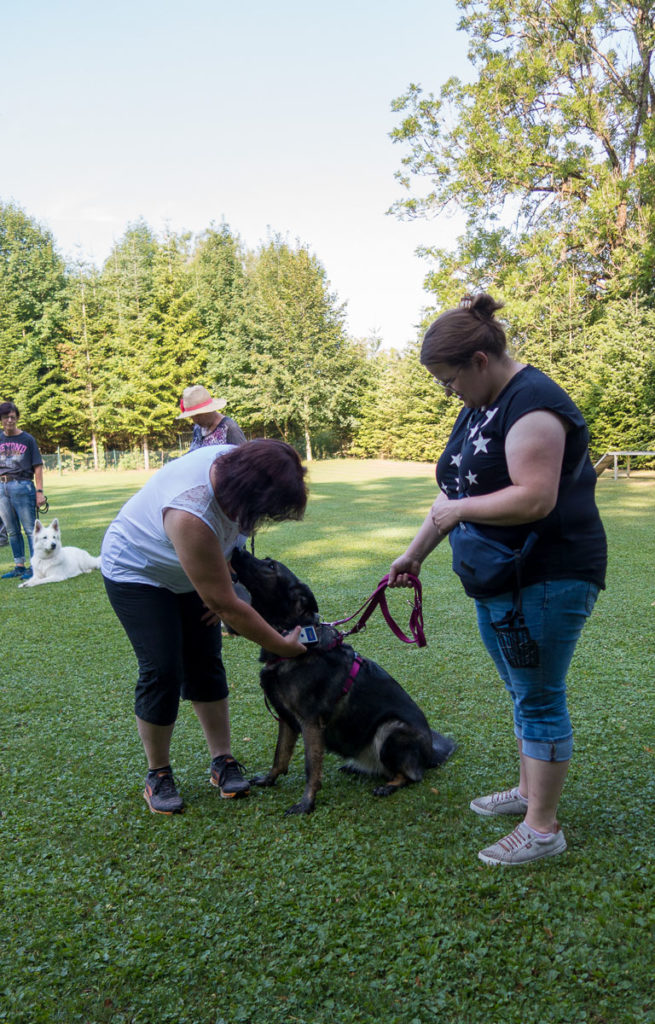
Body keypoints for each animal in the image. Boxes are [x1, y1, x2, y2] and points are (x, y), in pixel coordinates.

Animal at [230, 547, 456, 814]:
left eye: (271, 566)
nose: (237, 549)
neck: (298, 636)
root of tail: (431, 754)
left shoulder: (310, 723)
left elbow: (311, 767)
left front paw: (307, 803)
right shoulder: (286, 719)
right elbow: (280, 755)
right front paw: (269, 780)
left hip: (390, 728)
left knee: (412, 775)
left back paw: (389, 785)